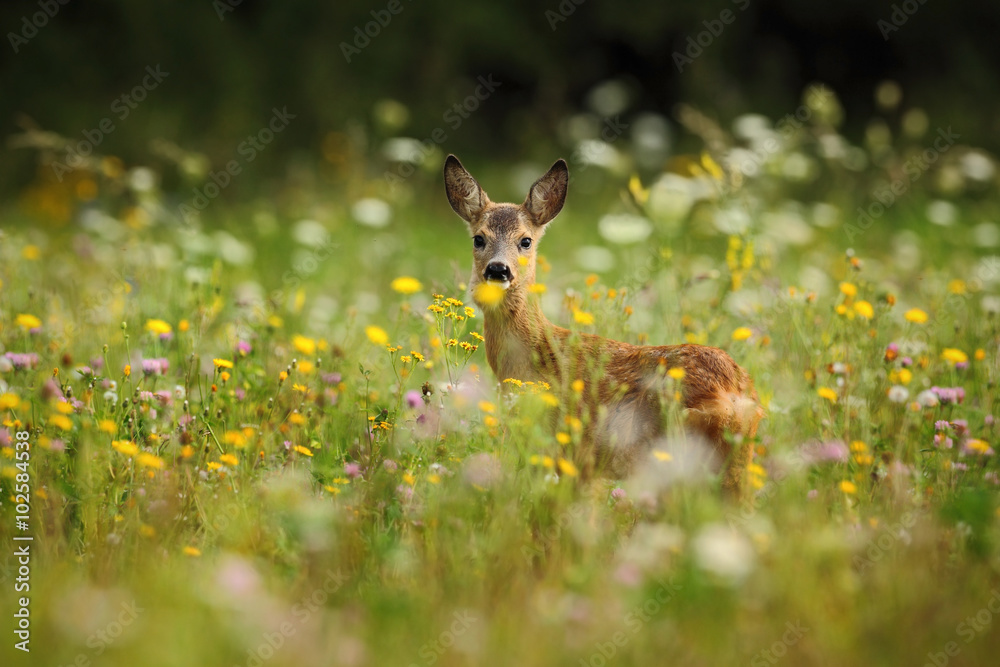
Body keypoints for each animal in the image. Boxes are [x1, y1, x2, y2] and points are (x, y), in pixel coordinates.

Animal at [446, 154, 764, 494]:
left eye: (526, 241)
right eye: (479, 238)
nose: (498, 270)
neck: (534, 358)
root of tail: (737, 395)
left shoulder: (573, 452)